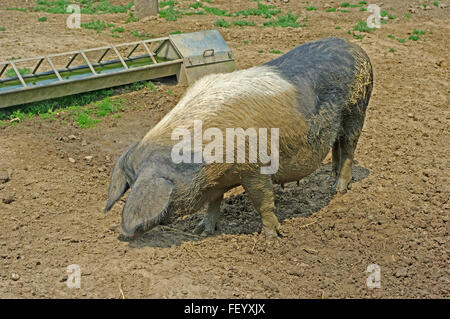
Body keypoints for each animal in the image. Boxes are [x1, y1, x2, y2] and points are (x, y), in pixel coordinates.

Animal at [104, 37, 372, 240]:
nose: (125, 234)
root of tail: (356, 48)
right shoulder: (214, 180)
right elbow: (214, 202)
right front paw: (202, 230)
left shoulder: (256, 167)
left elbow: (262, 199)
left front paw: (271, 237)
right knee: (337, 146)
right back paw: (331, 179)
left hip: (357, 109)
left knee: (349, 148)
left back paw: (339, 189)